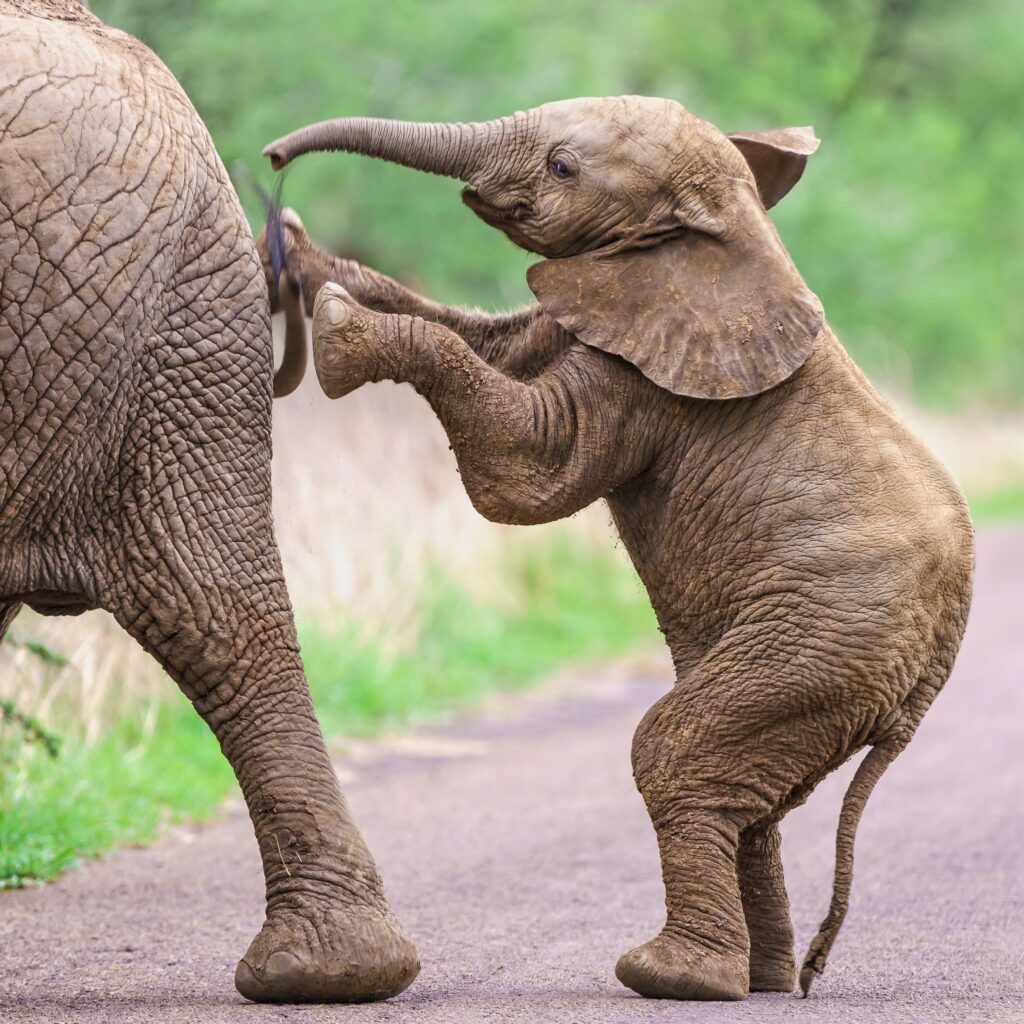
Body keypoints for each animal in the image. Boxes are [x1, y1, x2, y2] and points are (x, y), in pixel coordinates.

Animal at [264, 97, 974, 999]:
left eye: (564, 166)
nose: (274, 157)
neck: (721, 223)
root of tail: (941, 652)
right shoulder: (611, 309)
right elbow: (493, 339)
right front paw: (299, 249)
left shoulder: (648, 379)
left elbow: (528, 470)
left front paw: (336, 325)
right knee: (750, 801)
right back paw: (764, 980)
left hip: (833, 637)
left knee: (677, 752)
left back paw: (674, 977)